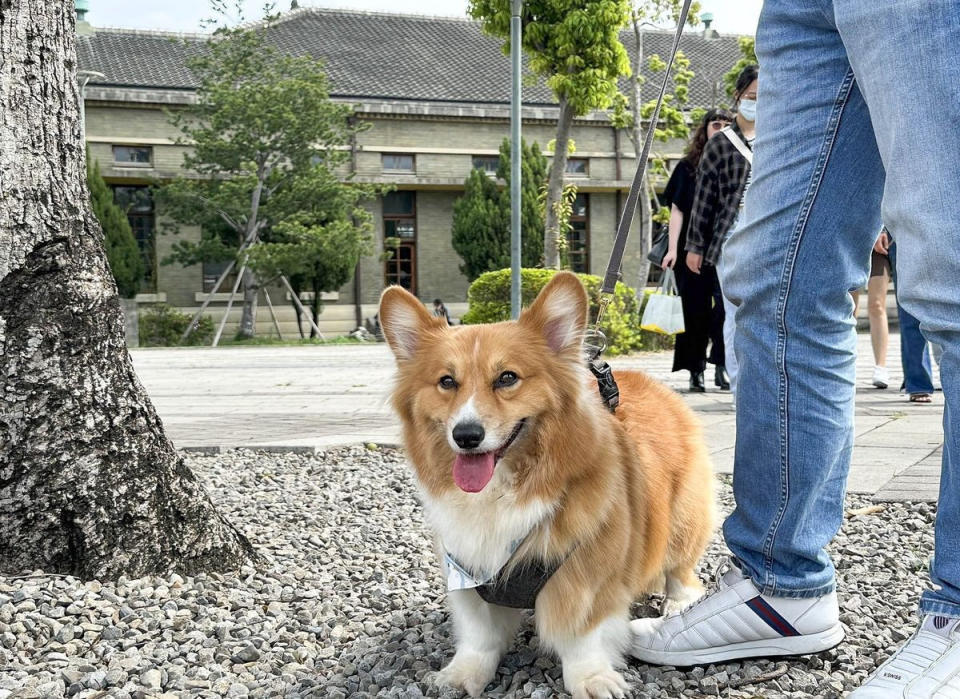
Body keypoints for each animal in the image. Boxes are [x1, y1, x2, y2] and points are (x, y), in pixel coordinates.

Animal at [378, 272, 716, 699]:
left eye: (507, 378)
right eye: (447, 382)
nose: (466, 435)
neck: (501, 493)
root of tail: (648, 382)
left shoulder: (587, 573)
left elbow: (581, 635)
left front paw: (592, 679)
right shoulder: (467, 573)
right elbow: (479, 636)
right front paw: (462, 675)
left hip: (683, 520)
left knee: (681, 570)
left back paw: (677, 605)